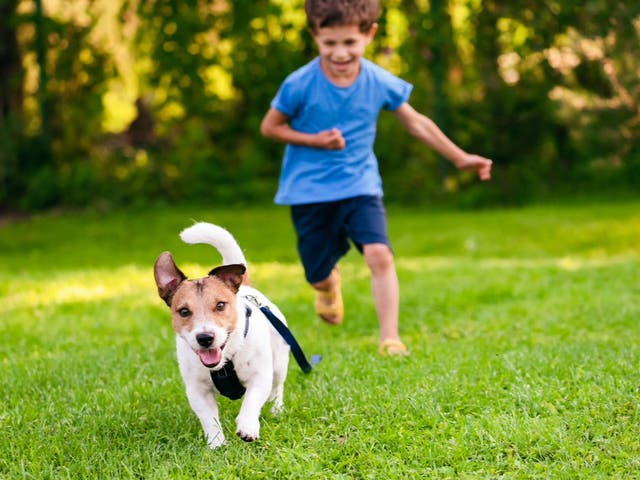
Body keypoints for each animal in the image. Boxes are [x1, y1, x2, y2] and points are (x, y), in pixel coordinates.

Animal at [154, 223, 288, 448]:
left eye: (220, 305)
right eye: (184, 311)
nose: (205, 338)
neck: (225, 361)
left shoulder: (259, 376)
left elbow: (251, 401)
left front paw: (247, 426)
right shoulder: (197, 390)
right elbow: (209, 418)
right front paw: (217, 443)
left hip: (279, 362)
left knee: (277, 387)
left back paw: (276, 409)